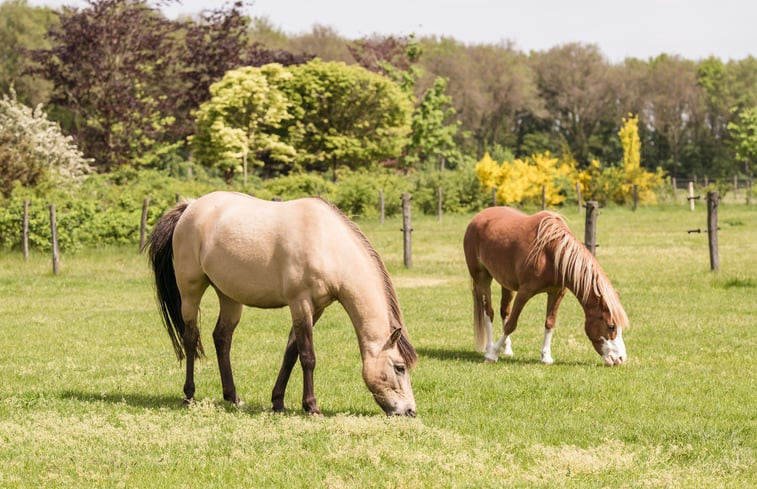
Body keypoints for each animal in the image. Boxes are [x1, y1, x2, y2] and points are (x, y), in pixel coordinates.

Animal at [146, 191, 420, 416]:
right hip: (191, 289)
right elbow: (307, 356)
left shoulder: (316, 308)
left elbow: (291, 352)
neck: (327, 243)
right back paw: (189, 395)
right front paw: (312, 407)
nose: (409, 411)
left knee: (222, 338)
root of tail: (190, 207)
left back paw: (233, 398)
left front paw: (278, 402)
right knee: (191, 337)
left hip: (229, 296)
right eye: (399, 368)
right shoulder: (300, 303)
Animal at [464, 206, 628, 366]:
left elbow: (550, 322)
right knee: (488, 313)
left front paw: (546, 357)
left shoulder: (557, 292)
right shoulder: (524, 291)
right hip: (482, 278)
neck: (550, 253)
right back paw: (489, 348)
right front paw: (492, 354)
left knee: (504, 311)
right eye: (611, 326)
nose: (620, 359)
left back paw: (508, 350)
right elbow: (511, 324)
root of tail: (477, 218)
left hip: (507, 284)